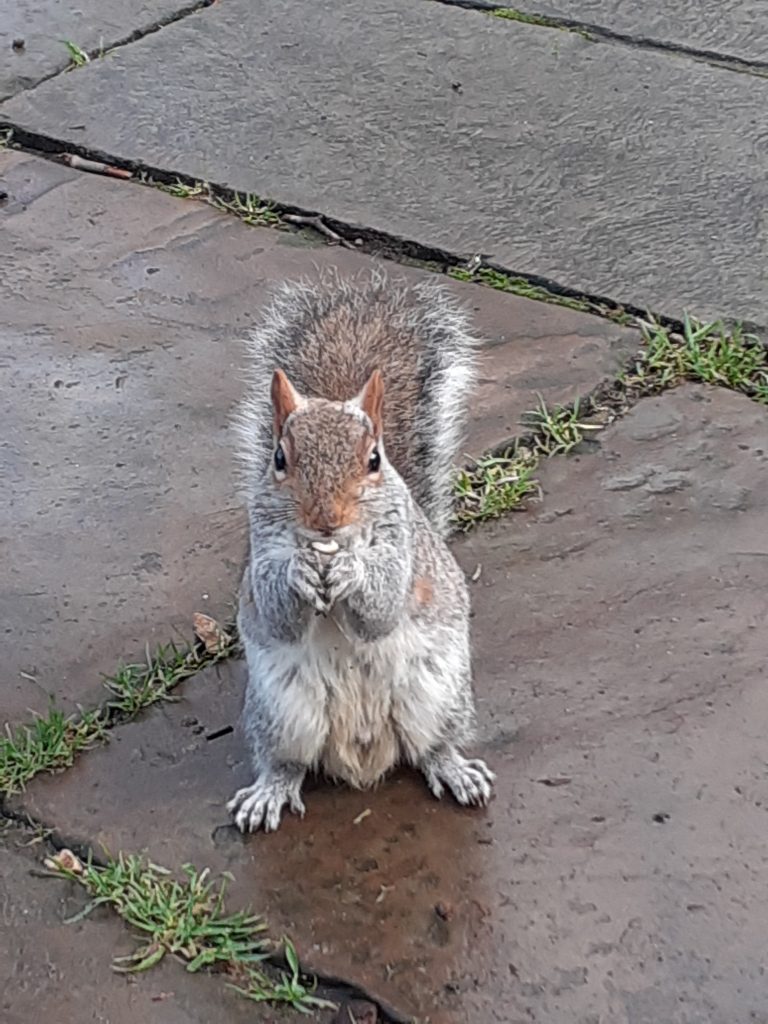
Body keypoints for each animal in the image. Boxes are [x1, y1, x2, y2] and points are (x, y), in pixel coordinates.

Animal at [228, 272, 495, 831]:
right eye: (279, 459)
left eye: (374, 459)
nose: (325, 518)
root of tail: (364, 759)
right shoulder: (261, 542)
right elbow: (276, 611)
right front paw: (299, 573)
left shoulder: (403, 547)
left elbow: (381, 609)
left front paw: (351, 571)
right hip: (283, 713)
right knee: (287, 763)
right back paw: (269, 791)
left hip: (436, 695)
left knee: (432, 747)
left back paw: (455, 769)